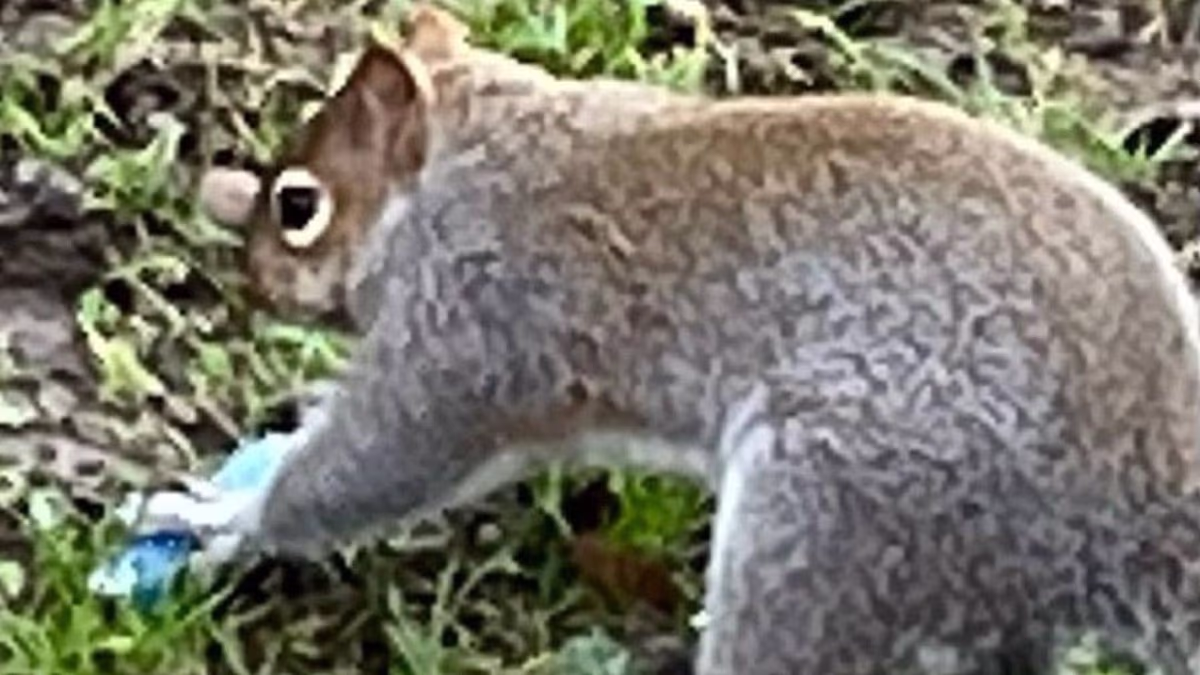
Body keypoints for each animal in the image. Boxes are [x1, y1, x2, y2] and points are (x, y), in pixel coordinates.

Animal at [147, 4, 1200, 674]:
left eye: (299, 206)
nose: (254, 278)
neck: (470, 161)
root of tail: (1129, 507)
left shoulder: (476, 321)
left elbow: (376, 459)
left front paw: (228, 517)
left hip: (826, 518)